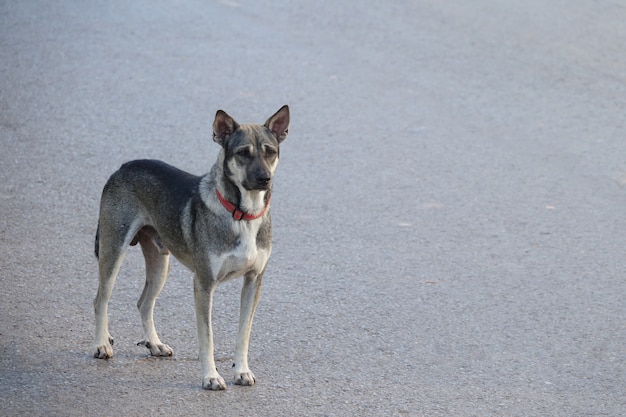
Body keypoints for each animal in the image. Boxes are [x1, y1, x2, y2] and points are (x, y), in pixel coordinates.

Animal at [92, 105, 290, 390]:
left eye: (270, 152)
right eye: (243, 153)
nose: (265, 178)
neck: (242, 214)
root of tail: (123, 167)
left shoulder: (254, 281)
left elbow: (244, 334)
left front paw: (241, 371)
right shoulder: (204, 284)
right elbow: (207, 337)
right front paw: (211, 376)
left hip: (160, 265)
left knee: (144, 303)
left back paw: (155, 344)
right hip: (113, 251)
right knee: (101, 300)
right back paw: (101, 344)